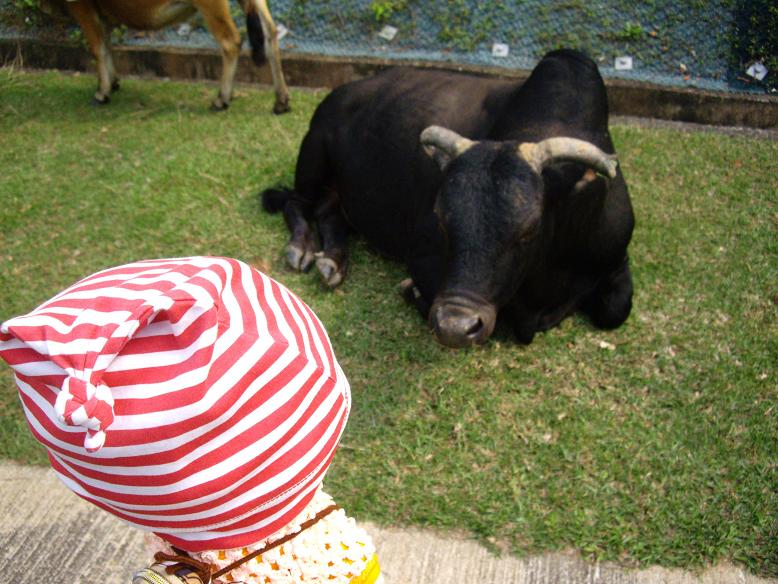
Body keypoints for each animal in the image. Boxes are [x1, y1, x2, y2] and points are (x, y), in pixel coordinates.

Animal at [48, 0, 289, 112]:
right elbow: (106, 44)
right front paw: (112, 82)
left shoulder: (81, 5)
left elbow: (97, 47)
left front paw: (102, 92)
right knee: (270, 34)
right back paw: (281, 101)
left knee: (231, 42)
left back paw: (222, 99)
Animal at [261, 49, 635, 348]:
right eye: (441, 220)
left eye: (529, 230)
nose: (456, 326)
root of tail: (341, 92)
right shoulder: (423, 258)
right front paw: (411, 291)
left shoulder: (616, 256)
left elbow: (616, 309)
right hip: (312, 153)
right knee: (296, 202)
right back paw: (303, 249)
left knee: (329, 210)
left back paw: (332, 261)